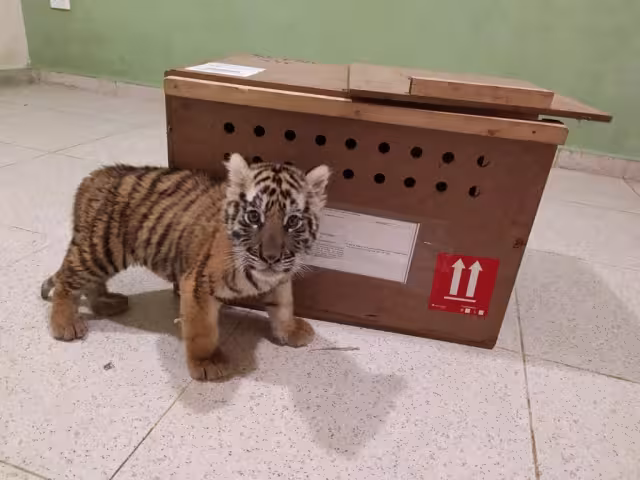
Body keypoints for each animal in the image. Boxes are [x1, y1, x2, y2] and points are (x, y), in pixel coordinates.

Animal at [40, 153, 331, 380]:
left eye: (293, 221)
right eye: (253, 216)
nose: (270, 257)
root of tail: (92, 177)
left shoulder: (280, 278)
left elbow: (283, 305)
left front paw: (290, 331)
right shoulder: (197, 283)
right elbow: (202, 331)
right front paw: (207, 363)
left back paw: (106, 303)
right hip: (102, 250)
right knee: (67, 279)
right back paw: (65, 325)